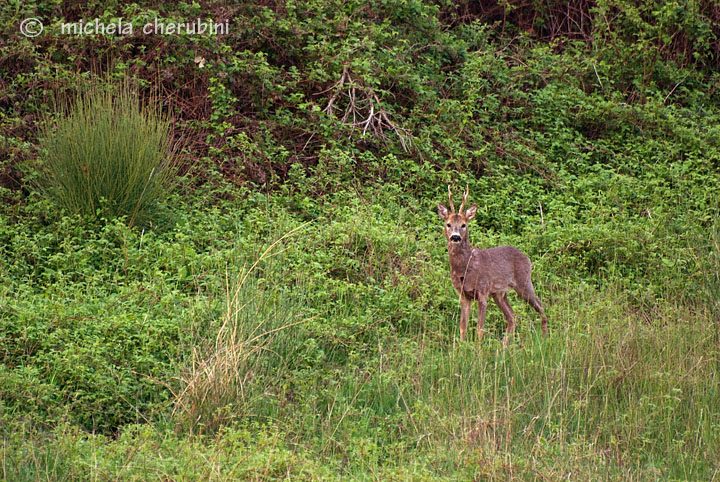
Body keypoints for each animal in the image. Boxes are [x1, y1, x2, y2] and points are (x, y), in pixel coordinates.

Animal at [438, 183, 544, 344]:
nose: (455, 237)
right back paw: (505, 346)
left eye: (464, 225)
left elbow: (479, 329)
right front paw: (460, 348)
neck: (466, 267)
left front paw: (478, 349)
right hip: (499, 293)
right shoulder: (463, 295)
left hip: (524, 282)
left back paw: (546, 338)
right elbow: (463, 327)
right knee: (512, 316)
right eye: (448, 224)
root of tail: (527, 258)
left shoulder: (483, 290)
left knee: (540, 305)